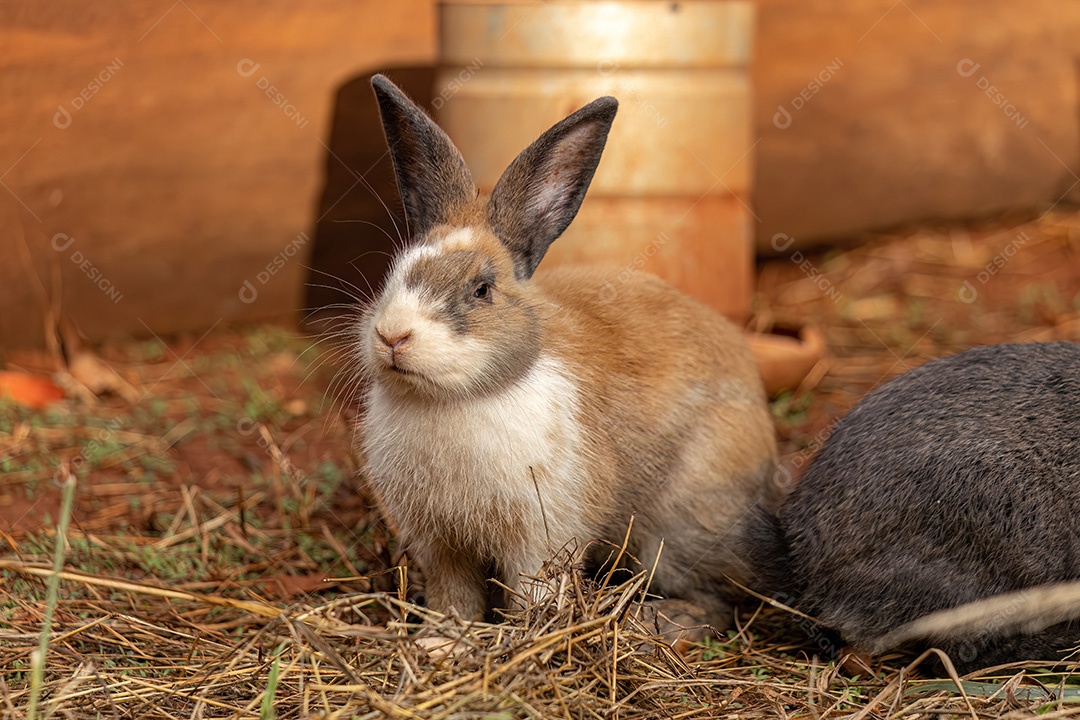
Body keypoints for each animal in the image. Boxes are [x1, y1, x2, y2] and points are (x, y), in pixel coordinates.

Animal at [356, 74, 780, 629]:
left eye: (481, 290)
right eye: (396, 271)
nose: (392, 336)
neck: (453, 400)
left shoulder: (543, 535)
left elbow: (533, 594)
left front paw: (525, 635)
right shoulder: (441, 546)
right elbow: (455, 597)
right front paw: (446, 637)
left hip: (683, 528)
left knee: (716, 601)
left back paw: (662, 622)